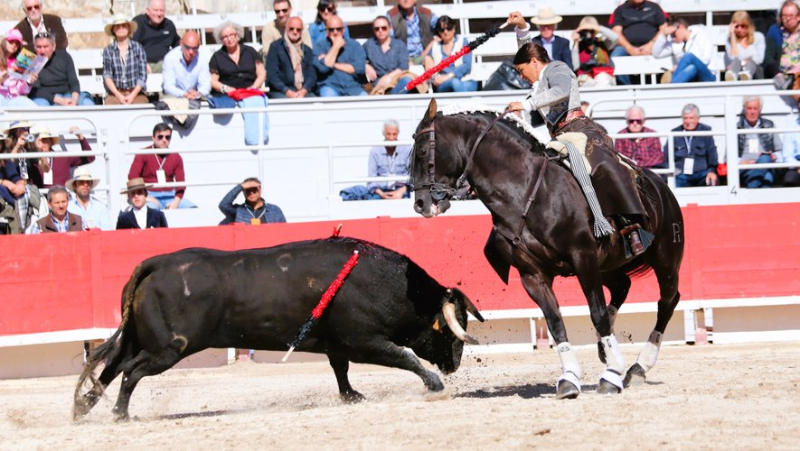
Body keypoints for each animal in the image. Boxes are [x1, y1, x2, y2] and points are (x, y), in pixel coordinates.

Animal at [75, 238, 484, 422]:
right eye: (453, 329)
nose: (453, 366)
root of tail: (155, 264)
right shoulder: (365, 341)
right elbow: (403, 357)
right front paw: (435, 385)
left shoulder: (337, 344)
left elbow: (340, 370)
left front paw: (352, 396)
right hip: (168, 348)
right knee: (131, 372)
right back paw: (121, 415)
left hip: (140, 340)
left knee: (111, 369)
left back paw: (82, 409)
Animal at [412, 100, 680, 400]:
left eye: (421, 150)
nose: (420, 204)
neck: (525, 192)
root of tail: (659, 185)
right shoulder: (533, 276)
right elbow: (555, 322)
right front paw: (569, 379)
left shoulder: (583, 258)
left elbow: (596, 313)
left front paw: (611, 375)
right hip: (610, 265)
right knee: (623, 286)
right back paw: (607, 350)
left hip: (666, 258)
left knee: (667, 302)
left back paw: (638, 367)